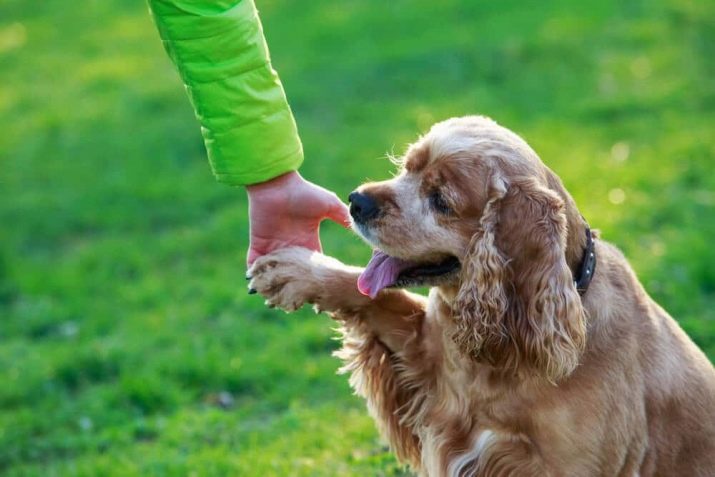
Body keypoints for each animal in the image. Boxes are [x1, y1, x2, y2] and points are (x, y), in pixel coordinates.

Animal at [248, 116, 715, 476]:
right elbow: (375, 296)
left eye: (441, 200)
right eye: (407, 169)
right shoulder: (428, 366)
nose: (357, 201)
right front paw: (294, 269)